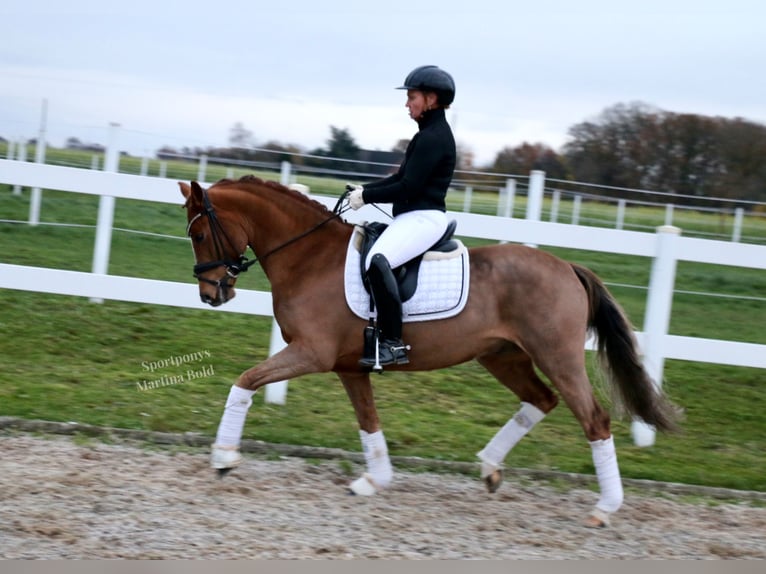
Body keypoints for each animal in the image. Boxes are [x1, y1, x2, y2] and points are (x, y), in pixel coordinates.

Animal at [180, 177, 680, 532]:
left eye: (200, 233)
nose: (211, 294)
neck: (309, 257)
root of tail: (568, 267)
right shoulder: (348, 367)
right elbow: (368, 422)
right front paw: (374, 480)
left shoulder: (311, 354)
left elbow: (244, 381)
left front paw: (223, 458)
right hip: (504, 356)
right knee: (541, 400)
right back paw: (489, 467)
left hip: (557, 356)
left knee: (593, 419)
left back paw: (604, 508)